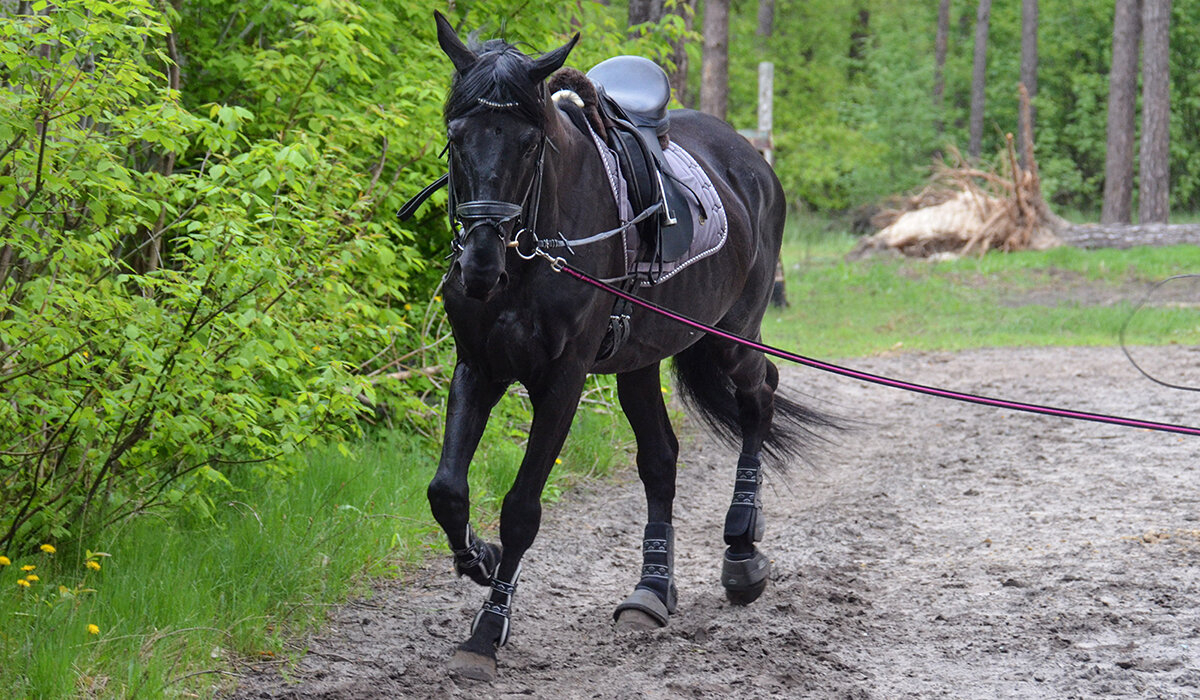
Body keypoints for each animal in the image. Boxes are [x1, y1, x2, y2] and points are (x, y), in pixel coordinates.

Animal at [424, 9, 835, 677]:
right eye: (456, 135)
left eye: (529, 142)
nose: (480, 264)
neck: (536, 251)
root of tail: (750, 158)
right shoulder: (478, 366)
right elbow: (447, 492)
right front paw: (478, 559)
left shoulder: (562, 381)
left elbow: (522, 510)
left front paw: (487, 632)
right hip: (639, 356)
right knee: (661, 459)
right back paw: (652, 590)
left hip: (730, 334)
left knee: (760, 395)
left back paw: (742, 549)